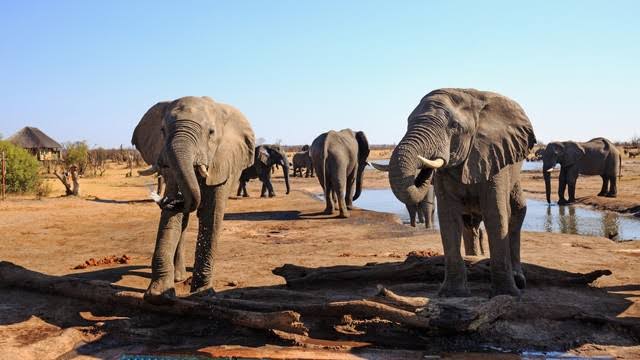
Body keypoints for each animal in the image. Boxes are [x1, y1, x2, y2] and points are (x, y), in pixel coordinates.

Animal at [131, 95, 255, 304]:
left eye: (211, 133)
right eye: (162, 131)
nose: (169, 201)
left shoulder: (222, 162)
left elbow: (211, 214)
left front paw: (202, 292)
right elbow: (173, 219)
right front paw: (159, 295)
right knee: (184, 221)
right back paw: (179, 276)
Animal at [388, 88, 536, 296]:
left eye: (454, 126)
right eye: (408, 122)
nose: (425, 167)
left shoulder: (494, 157)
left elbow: (496, 215)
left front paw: (505, 293)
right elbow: (449, 218)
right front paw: (452, 293)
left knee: (515, 213)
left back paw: (518, 280)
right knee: (469, 224)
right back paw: (473, 259)